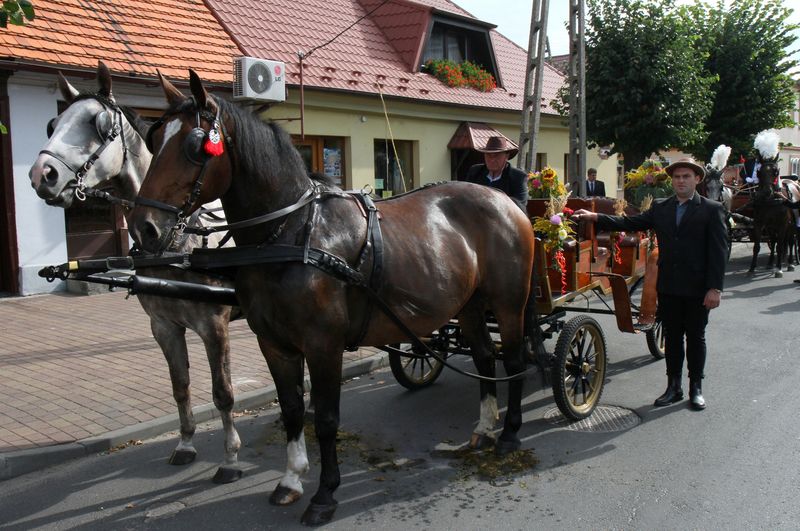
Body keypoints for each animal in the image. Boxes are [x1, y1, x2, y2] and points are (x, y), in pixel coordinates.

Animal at [128, 71, 536, 528]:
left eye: (195, 145)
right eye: (154, 138)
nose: (143, 228)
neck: (291, 233)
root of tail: (504, 202)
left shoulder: (324, 346)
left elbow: (324, 419)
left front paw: (325, 494)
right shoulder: (274, 344)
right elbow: (291, 410)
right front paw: (290, 480)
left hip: (509, 303)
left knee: (512, 361)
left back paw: (510, 433)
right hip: (467, 306)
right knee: (483, 359)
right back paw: (483, 429)